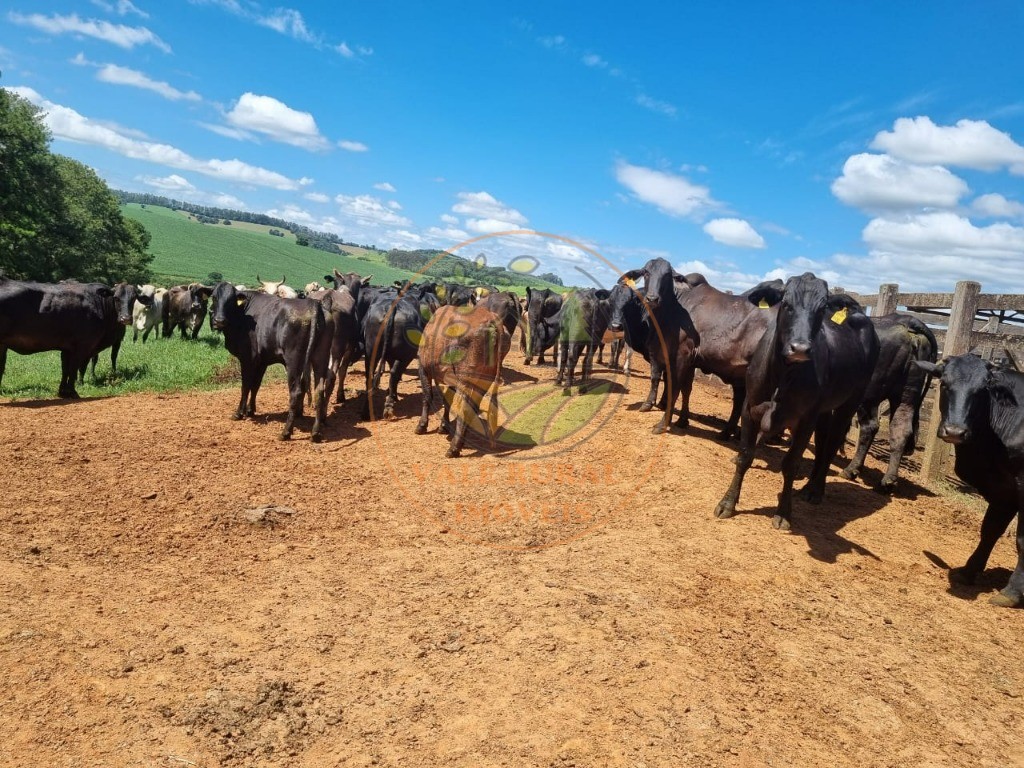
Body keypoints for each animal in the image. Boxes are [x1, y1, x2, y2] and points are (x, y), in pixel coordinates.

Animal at [610, 260, 700, 434]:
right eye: (646, 272)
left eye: (629, 302)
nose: (616, 326)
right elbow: (660, 379)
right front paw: (656, 403)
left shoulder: (660, 355)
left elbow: (662, 380)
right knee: (686, 389)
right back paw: (682, 420)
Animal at [712, 274, 880, 532]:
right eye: (786, 304)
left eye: (821, 309)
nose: (800, 348)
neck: (782, 376)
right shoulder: (750, 408)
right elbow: (744, 456)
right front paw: (727, 503)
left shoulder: (805, 420)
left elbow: (791, 464)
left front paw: (783, 513)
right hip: (824, 410)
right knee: (822, 442)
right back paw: (809, 485)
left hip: (850, 401)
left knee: (832, 443)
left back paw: (815, 490)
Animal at [839, 313, 937, 489]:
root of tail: (907, 321)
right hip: (907, 394)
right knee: (900, 430)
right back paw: (888, 481)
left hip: (867, 394)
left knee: (869, 427)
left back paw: (851, 470)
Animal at [917, 358, 1024, 610]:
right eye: (944, 383)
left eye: (982, 390)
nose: (955, 431)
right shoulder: (1004, 489)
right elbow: (990, 530)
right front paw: (968, 571)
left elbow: (1022, 542)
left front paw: (1012, 593)